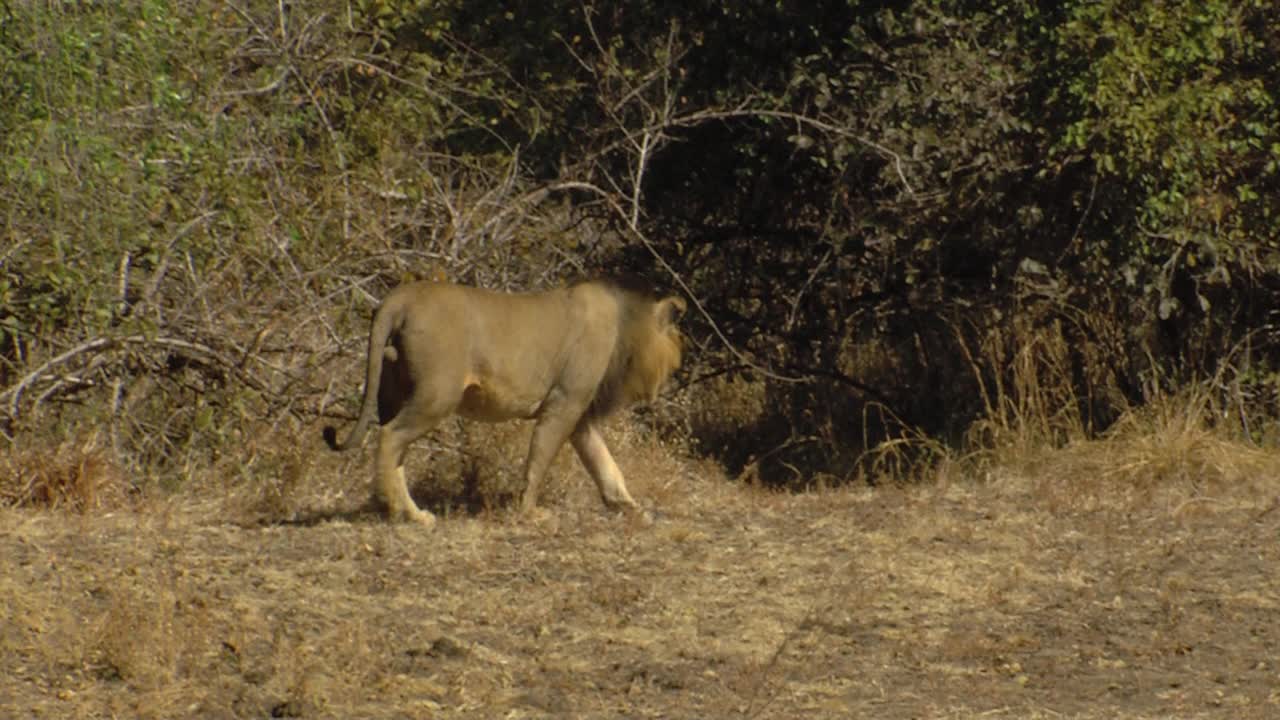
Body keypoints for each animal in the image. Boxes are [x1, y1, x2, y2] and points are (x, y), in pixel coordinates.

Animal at [325, 278, 686, 525]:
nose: (661, 388)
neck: (626, 329)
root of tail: (401, 297)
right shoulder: (564, 402)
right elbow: (539, 459)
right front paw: (529, 512)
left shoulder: (579, 415)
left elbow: (604, 463)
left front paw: (627, 506)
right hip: (437, 395)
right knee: (390, 437)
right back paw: (403, 512)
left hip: (396, 392)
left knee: (395, 447)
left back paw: (403, 508)